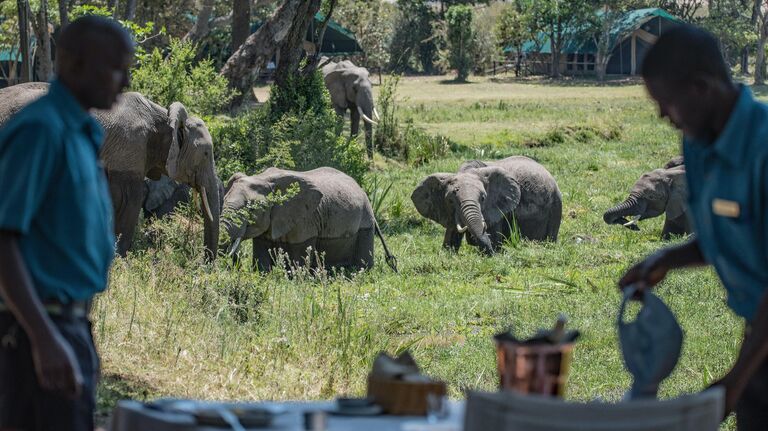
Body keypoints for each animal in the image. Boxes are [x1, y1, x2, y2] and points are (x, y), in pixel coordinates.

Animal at [0, 83, 222, 260]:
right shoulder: (129, 150)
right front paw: (120, 261)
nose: (204, 264)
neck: (164, 116)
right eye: (206, 153)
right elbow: (129, 201)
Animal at [218, 166, 392, 272]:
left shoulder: (306, 219)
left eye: (252, 209)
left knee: (362, 261)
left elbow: (300, 255)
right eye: (223, 202)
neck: (263, 178)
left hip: (365, 220)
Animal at [412, 156, 560, 255]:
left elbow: (494, 237)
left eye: (483, 198)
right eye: (450, 201)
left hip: (555, 204)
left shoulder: (497, 208)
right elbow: (451, 235)